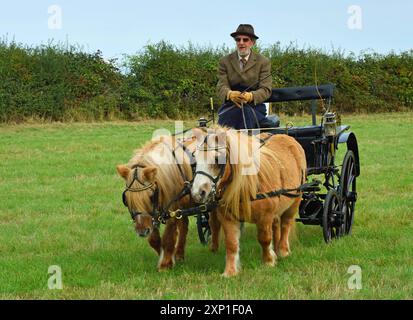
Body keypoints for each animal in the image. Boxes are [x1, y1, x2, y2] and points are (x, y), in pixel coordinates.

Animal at [116, 133, 220, 270]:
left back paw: (214, 245)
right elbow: (154, 239)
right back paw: (180, 254)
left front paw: (165, 264)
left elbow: (168, 236)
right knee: (184, 225)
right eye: (126, 199)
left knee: (213, 221)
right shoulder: (155, 213)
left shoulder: (172, 210)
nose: (142, 232)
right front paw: (164, 255)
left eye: (151, 196)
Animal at [191, 126, 306, 276]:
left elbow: (264, 238)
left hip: (295, 201)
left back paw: (283, 251)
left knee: (286, 224)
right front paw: (230, 271)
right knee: (276, 224)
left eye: (217, 159)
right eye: (195, 159)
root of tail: (288, 137)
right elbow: (231, 243)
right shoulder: (227, 218)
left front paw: (269, 261)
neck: (245, 186)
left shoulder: (265, 217)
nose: (198, 192)